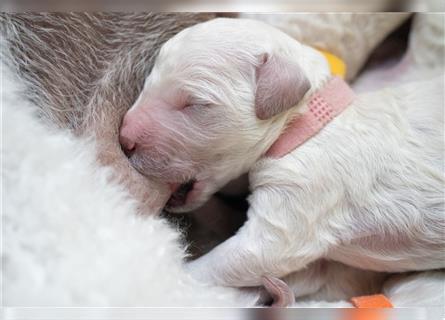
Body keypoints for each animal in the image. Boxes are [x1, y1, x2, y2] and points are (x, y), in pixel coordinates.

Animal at [119, 18, 444, 292]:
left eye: (194, 103)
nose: (124, 138)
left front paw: (159, 276)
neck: (307, 120)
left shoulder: (306, 192)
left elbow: (254, 255)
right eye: (147, 83)